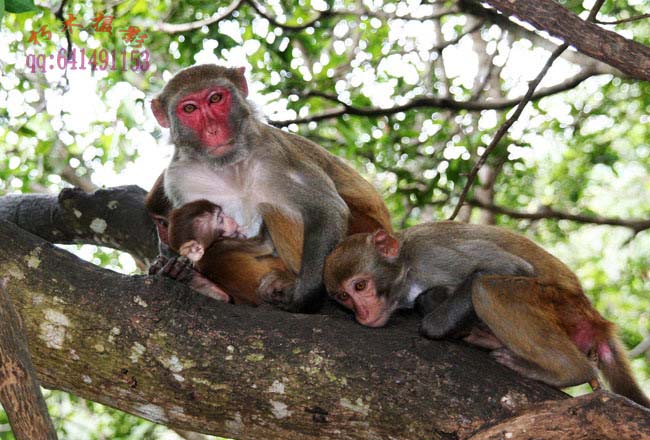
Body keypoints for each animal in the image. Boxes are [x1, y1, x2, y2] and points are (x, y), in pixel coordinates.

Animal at [147, 64, 390, 312]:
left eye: (215, 98)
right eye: (189, 108)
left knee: (275, 207)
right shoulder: (179, 177)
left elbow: (327, 210)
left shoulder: (276, 153)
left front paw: (301, 299)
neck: (232, 165)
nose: (212, 130)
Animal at [324, 223, 648, 410]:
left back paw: (569, 371)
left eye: (360, 286)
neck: (407, 266)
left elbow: (509, 268)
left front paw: (433, 326)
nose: (363, 314)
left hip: (560, 304)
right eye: (343, 297)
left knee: (486, 287)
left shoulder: (431, 253)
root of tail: (596, 319)